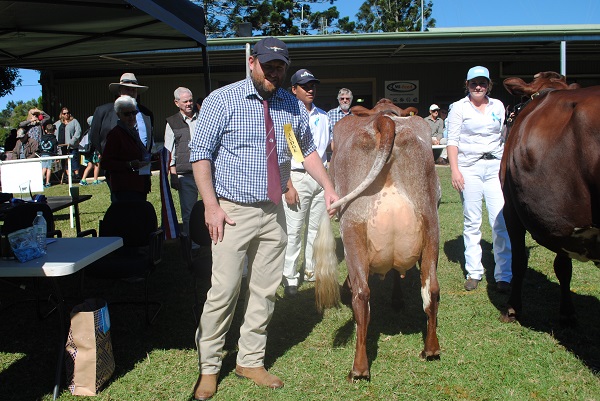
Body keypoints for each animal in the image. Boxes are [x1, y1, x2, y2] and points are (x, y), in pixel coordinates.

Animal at [314, 98, 440, 380]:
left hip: (352, 226)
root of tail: (385, 121)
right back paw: (431, 349)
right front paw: (397, 299)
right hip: (431, 225)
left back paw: (359, 369)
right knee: (432, 290)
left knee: (362, 295)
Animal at [502, 72, 600, 324]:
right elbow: (563, 266)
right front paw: (567, 311)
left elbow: (519, 260)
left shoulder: (511, 209)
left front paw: (512, 308)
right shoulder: (559, 220)